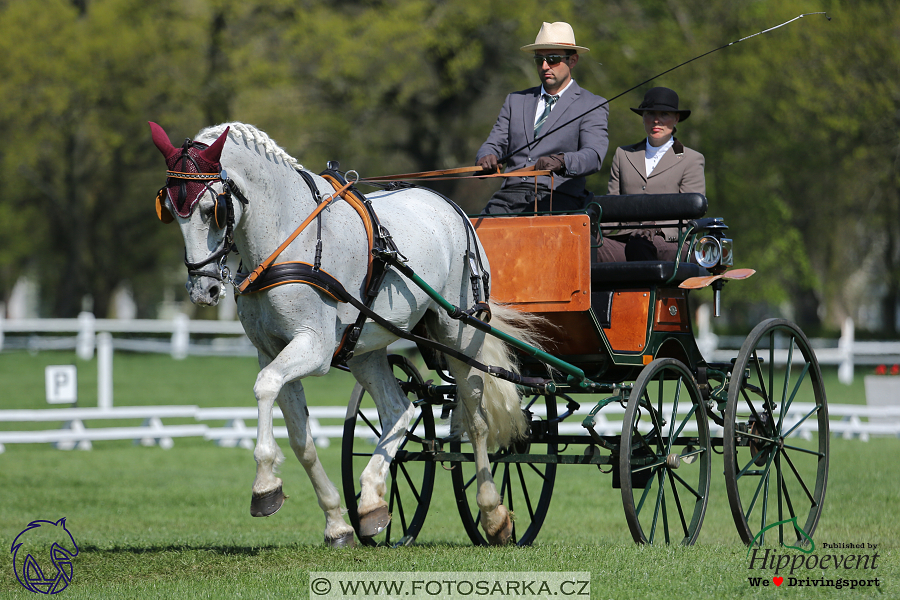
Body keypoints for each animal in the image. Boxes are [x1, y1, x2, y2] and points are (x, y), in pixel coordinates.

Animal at [151, 119, 540, 548]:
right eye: (170, 212)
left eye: (211, 210)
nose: (202, 291)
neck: (289, 237)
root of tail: (451, 208)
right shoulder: (272, 350)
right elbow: (301, 438)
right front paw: (337, 523)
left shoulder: (314, 348)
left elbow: (265, 385)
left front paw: (265, 483)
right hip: (366, 349)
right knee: (400, 410)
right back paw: (371, 503)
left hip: (458, 332)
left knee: (476, 417)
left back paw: (493, 515)